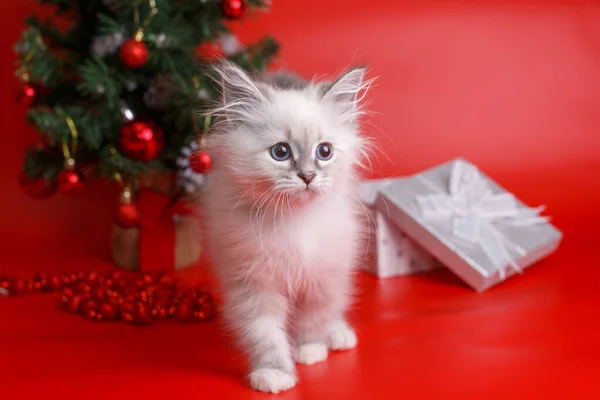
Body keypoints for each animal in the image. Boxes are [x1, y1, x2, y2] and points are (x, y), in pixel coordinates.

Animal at [204, 62, 368, 394]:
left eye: (324, 152)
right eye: (280, 152)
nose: (307, 176)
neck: (293, 221)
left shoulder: (322, 275)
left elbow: (314, 317)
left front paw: (310, 349)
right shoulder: (253, 284)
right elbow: (265, 335)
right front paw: (275, 374)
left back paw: (338, 334)